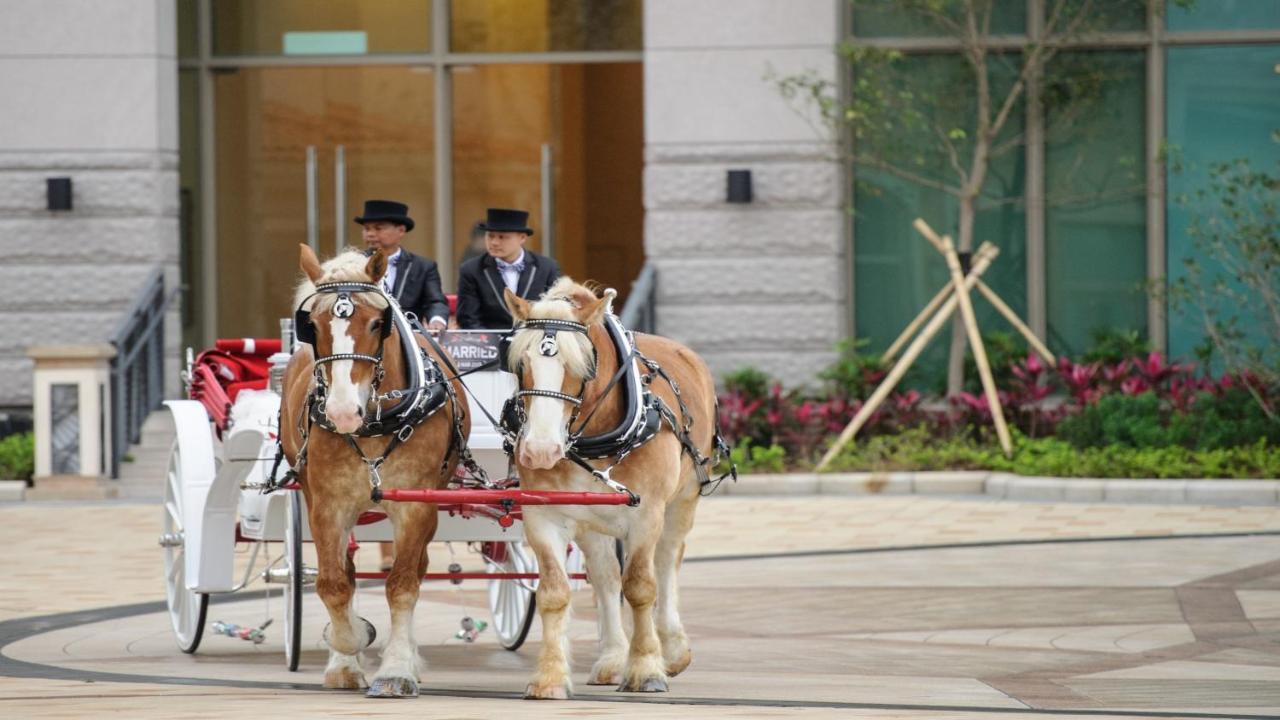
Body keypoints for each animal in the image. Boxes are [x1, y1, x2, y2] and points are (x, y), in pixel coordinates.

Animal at [277, 245, 468, 696]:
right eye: (311, 325)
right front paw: (348, 647)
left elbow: (402, 584)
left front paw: (397, 668)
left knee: (416, 570)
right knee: (344, 573)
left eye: (378, 322)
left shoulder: (416, 506)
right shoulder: (328, 506)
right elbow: (333, 584)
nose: (343, 412)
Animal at [509, 275, 732, 696]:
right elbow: (554, 593)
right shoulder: (543, 515)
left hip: (682, 501)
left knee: (667, 561)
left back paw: (672, 649)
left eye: (580, 365)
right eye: (520, 362)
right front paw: (549, 676)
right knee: (605, 576)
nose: (540, 451)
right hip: (593, 520)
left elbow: (641, 586)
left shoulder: (646, 513)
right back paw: (612, 657)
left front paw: (645, 668)